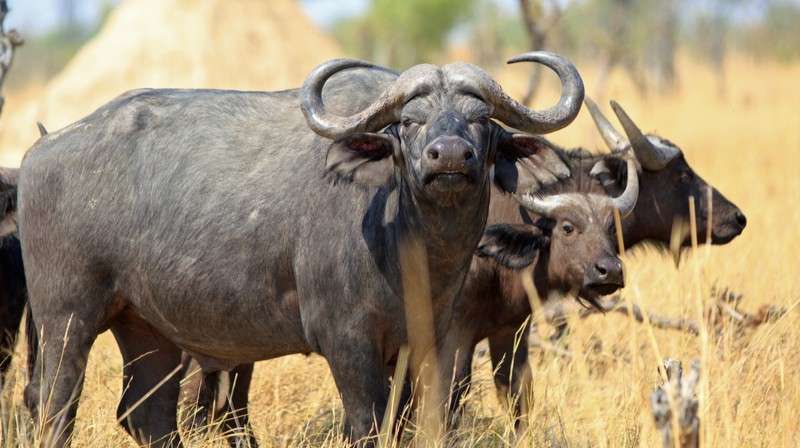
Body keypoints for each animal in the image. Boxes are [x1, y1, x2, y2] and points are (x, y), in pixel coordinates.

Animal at [18, 53, 584, 447]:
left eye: (481, 120)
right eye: (409, 121)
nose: (447, 156)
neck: (412, 247)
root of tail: (39, 151)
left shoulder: (419, 343)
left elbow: (403, 424)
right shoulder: (347, 342)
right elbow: (367, 426)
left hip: (147, 329)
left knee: (145, 414)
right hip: (65, 321)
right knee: (53, 405)